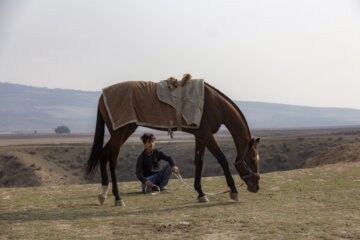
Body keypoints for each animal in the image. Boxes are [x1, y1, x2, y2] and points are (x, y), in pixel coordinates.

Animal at [86, 77, 260, 206]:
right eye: (251, 160)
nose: (256, 187)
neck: (213, 103)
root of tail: (102, 95)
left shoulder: (200, 135)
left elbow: (199, 162)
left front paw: (201, 194)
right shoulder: (206, 135)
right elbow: (222, 159)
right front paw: (233, 192)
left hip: (126, 130)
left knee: (103, 155)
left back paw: (103, 194)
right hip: (120, 131)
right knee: (112, 160)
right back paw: (117, 198)